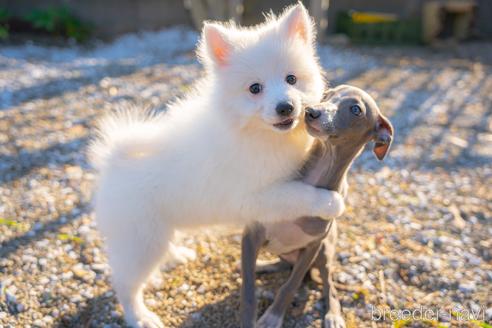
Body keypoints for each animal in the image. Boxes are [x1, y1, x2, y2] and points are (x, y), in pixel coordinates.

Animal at [89, 3, 342, 328]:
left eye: (291, 79)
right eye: (255, 88)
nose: (285, 107)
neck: (255, 133)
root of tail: (113, 159)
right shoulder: (256, 197)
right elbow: (298, 194)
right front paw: (330, 202)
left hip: (157, 229)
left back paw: (177, 255)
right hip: (141, 239)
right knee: (125, 282)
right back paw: (139, 316)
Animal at [240, 85, 394, 328]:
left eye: (356, 109)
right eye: (327, 95)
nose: (311, 112)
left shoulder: (312, 247)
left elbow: (290, 286)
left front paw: (273, 316)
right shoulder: (251, 234)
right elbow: (248, 290)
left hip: (324, 253)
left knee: (328, 285)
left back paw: (333, 315)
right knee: (282, 263)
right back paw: (264, 265)